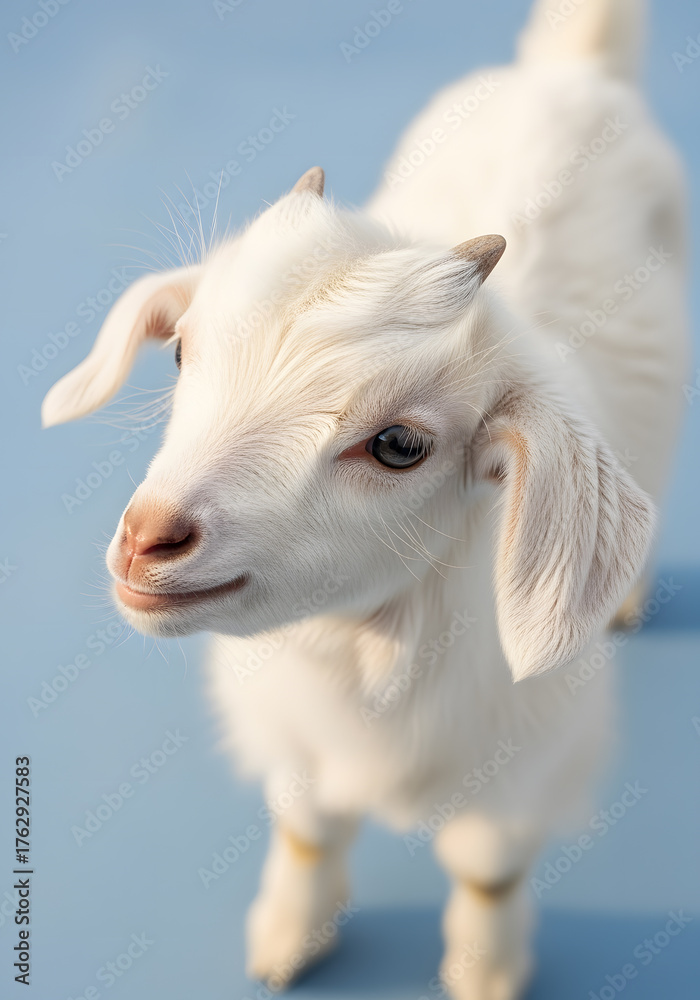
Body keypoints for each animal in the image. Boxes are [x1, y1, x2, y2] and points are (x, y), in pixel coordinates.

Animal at [42, 0, 688, 995]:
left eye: (399, 446)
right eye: (182, 350)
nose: (150, 539)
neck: (370, 654)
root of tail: (569, 72)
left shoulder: (528, 759)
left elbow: (487, 866)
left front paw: (486, 969)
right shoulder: (297, 734)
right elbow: (308, 826)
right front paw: (289, 933)